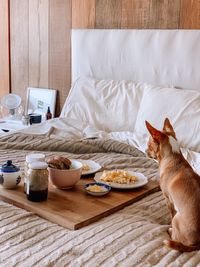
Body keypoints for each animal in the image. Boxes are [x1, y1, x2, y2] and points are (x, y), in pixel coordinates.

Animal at [145, 119, 200, 253]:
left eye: (149, 145)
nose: (145, 151)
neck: (172, 156)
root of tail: (197, 245)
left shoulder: (168, 199)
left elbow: (171, 214)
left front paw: (169, 225)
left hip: (177, 220)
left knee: (175, 235)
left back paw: (170, 230)